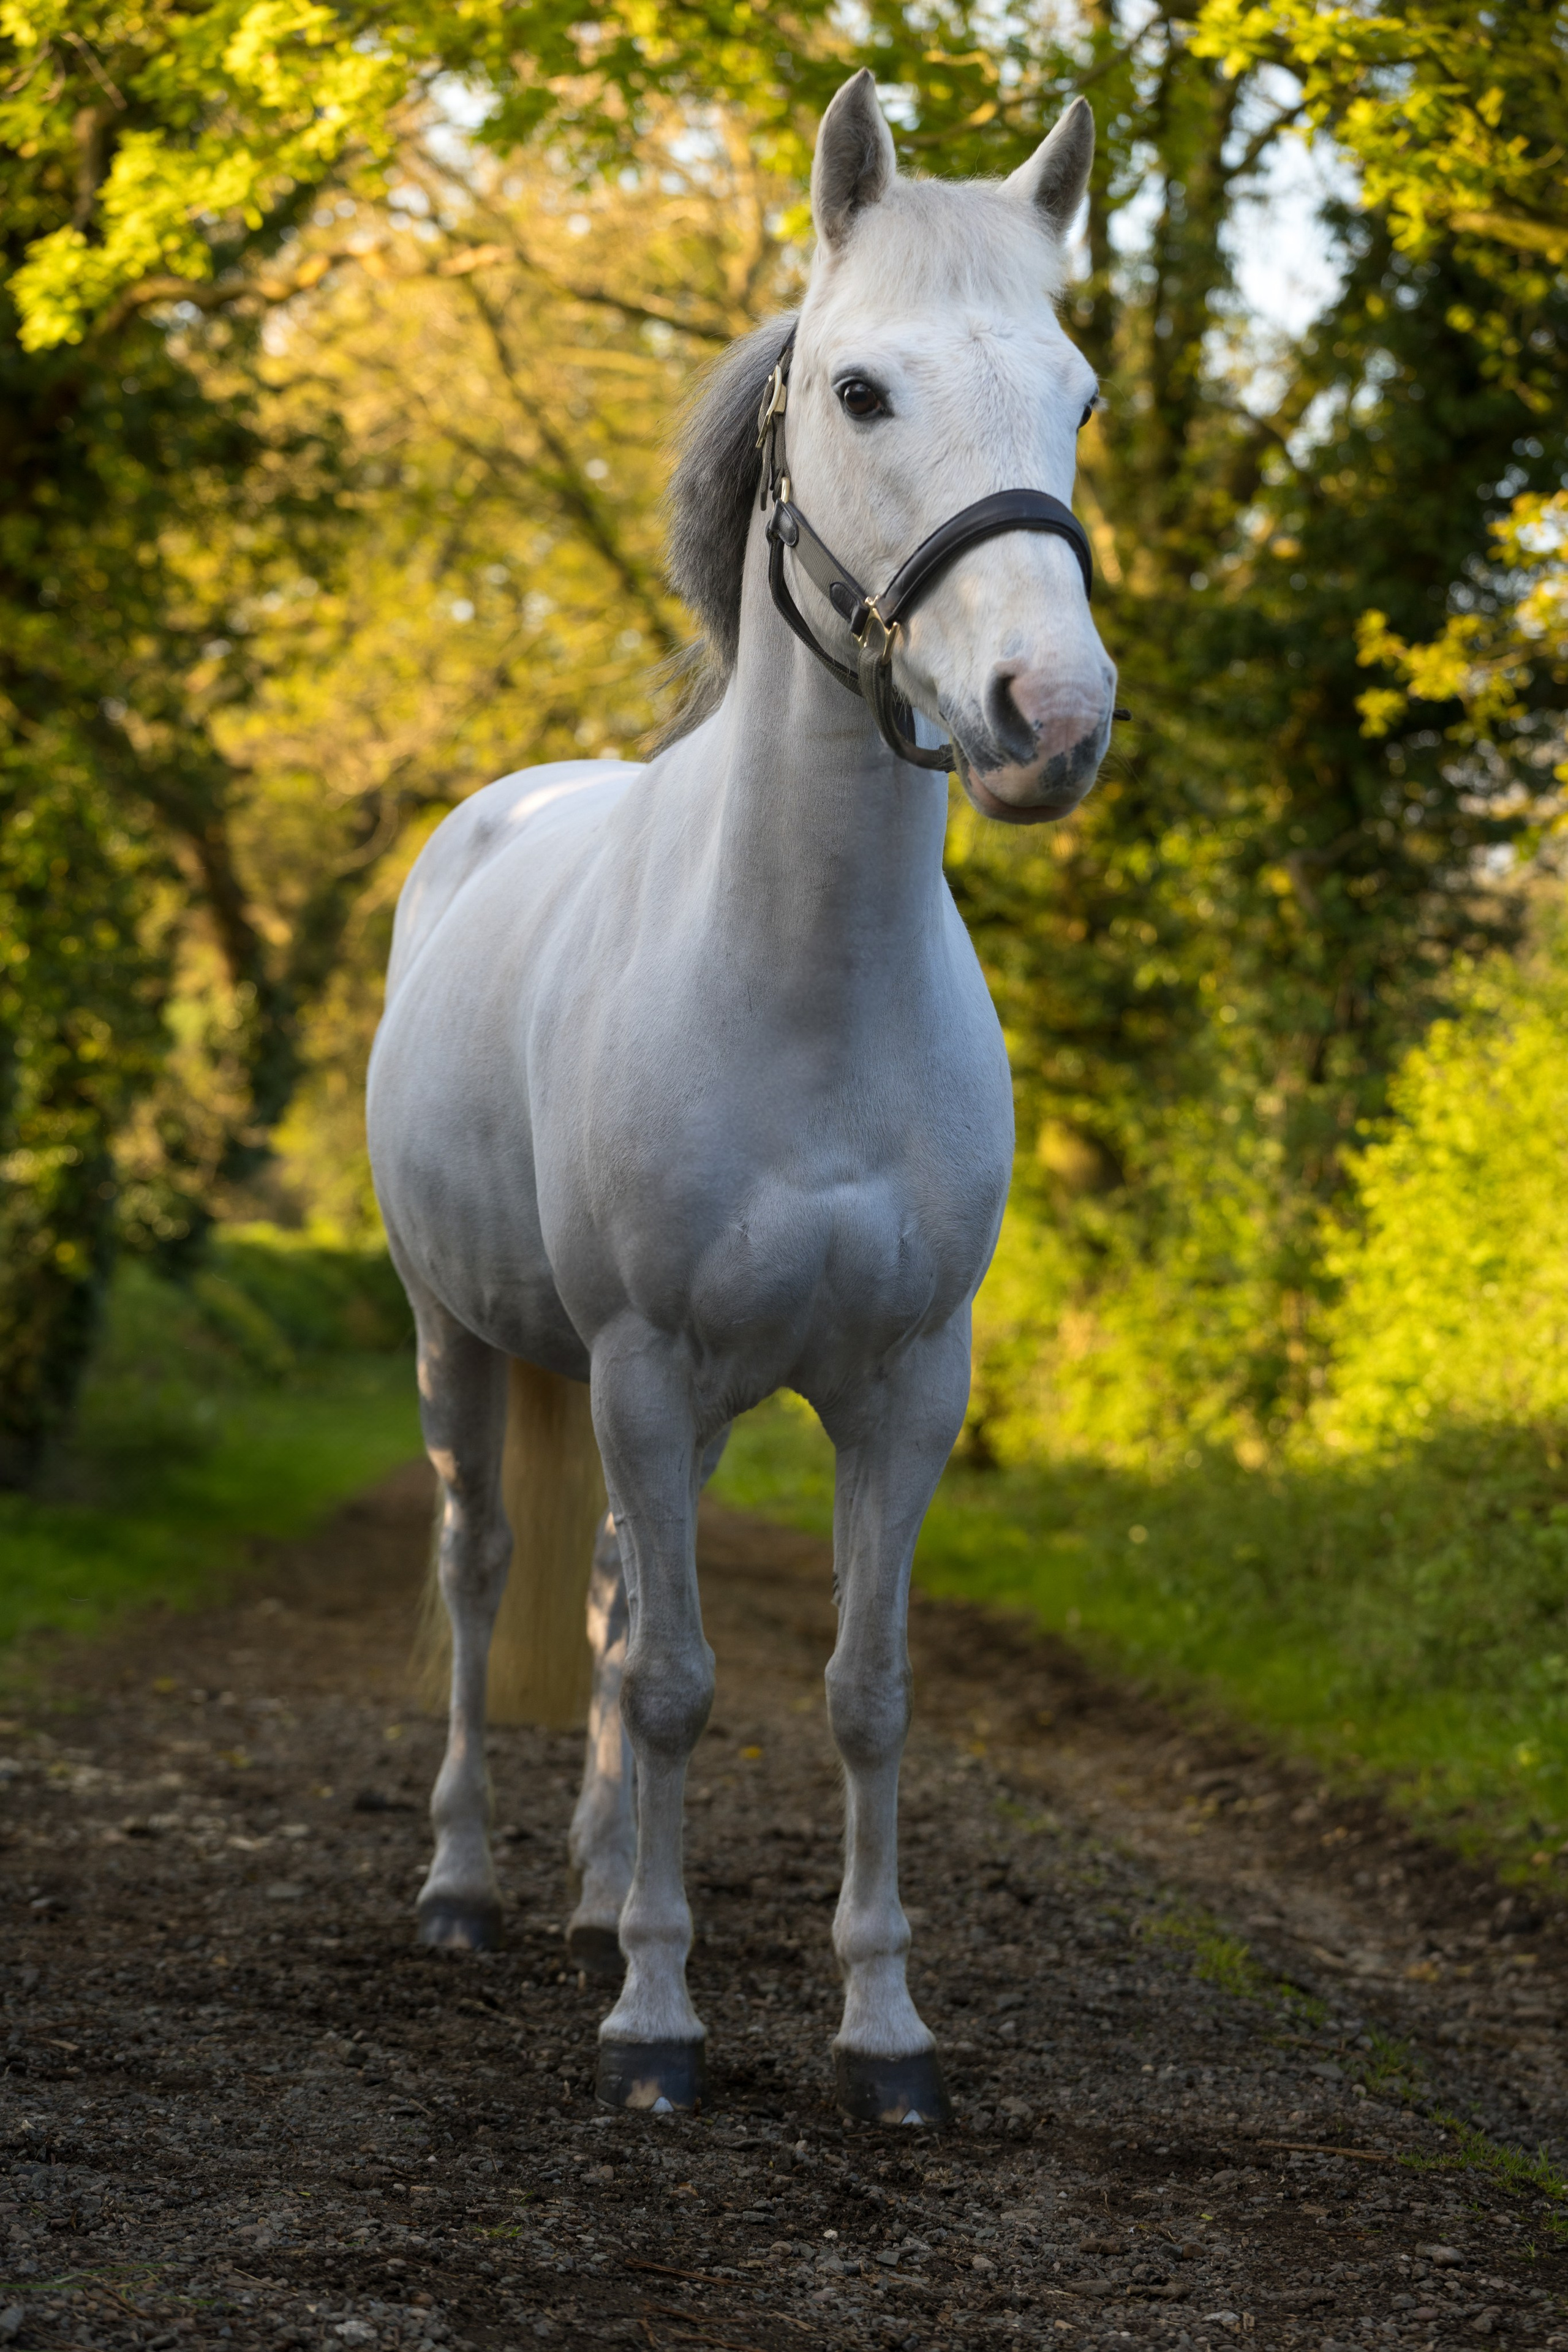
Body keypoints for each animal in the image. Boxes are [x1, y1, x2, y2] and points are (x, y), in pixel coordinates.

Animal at [366, 68, 1117, 2127]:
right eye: (859, 389)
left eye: (1080, 394)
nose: (1051, 716)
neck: (806, 984)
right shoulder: (635, 1361)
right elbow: (686, 1684)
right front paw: (657, 2022)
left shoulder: (902, 1387)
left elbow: (859, 1690)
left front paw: (882, 2032)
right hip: (466, 1341)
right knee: (485, 1578)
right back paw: (470, 1887)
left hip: (667, 1413)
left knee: (619, 1604)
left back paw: (590, 1885)